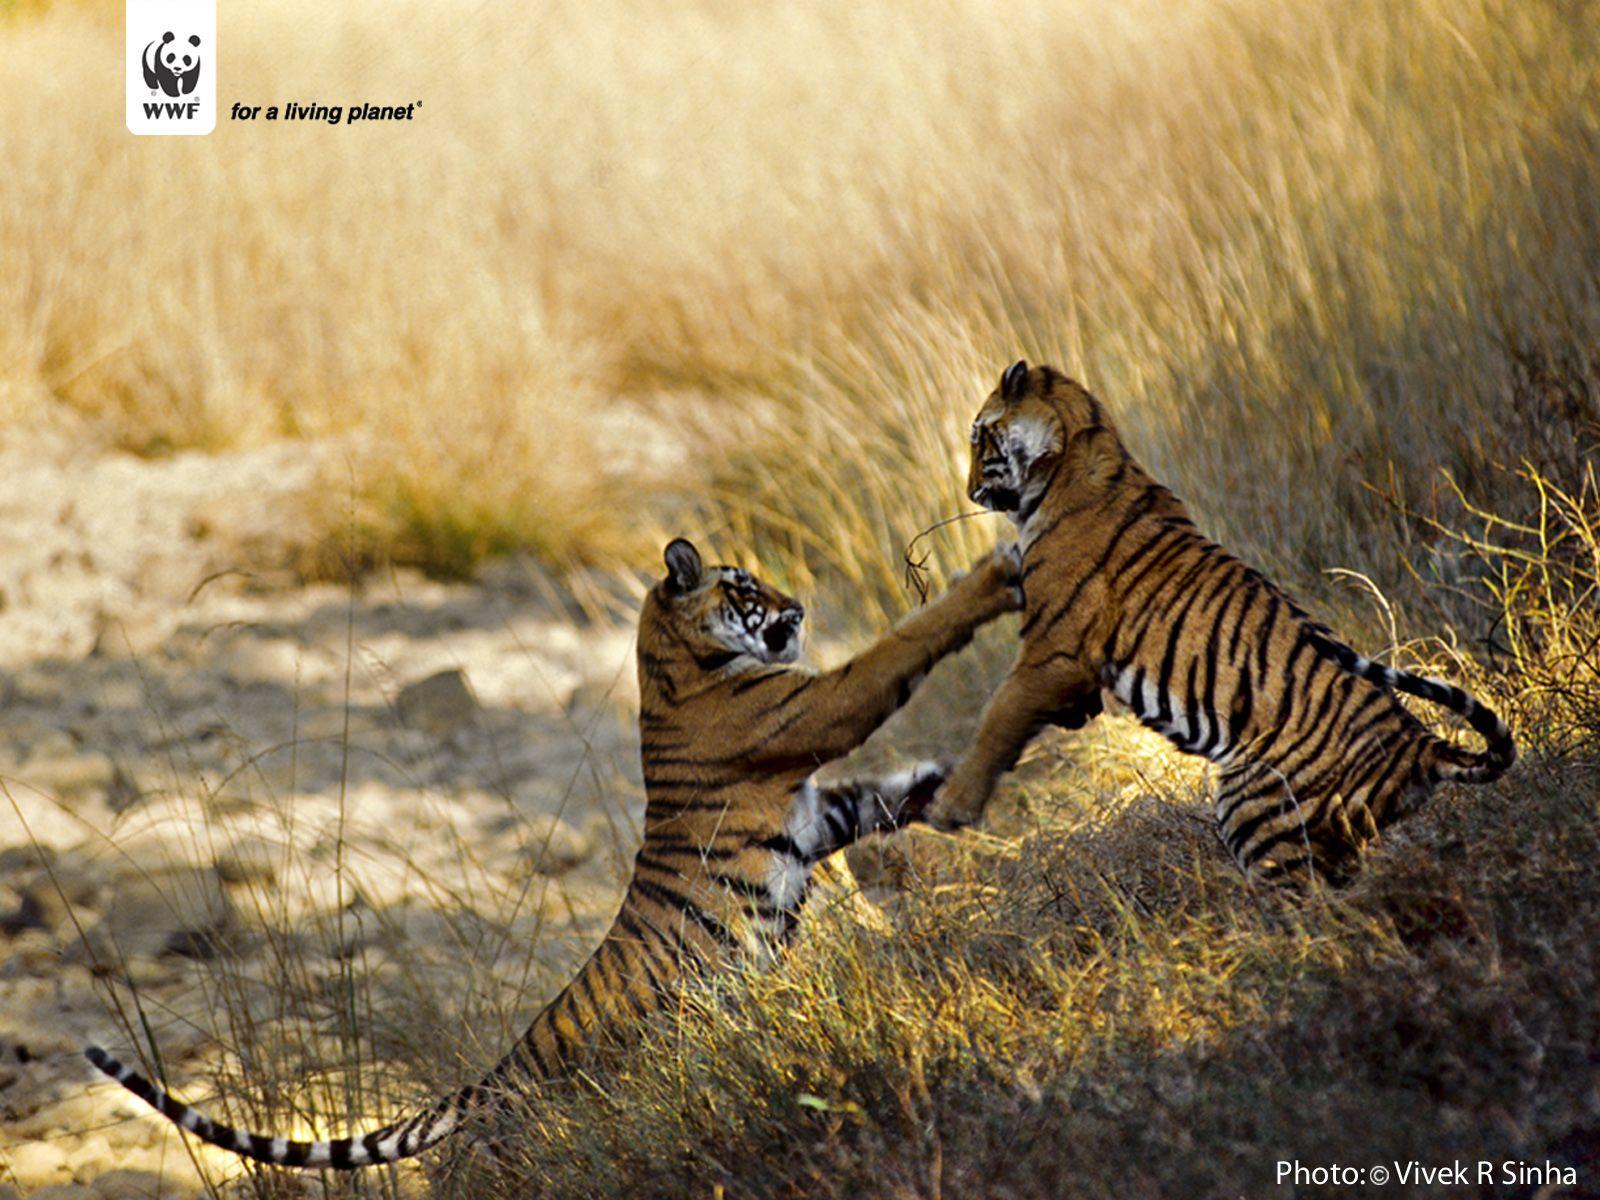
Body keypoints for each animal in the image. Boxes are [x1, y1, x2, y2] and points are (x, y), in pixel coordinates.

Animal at [85, 536, 1022, 1169]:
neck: (679, 664)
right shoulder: (812, 713)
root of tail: (496, 1074)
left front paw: (955, 785)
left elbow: (886, 796)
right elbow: (898, 647)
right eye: (745, 587)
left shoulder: (818, 812)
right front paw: (995, 576)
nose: (798, 610)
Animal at [924, 360, 1516, 883]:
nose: (970, 491)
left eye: (979, 437)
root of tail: (1419, 747)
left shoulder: (1053, 651)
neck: (1082, 445)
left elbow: (998, 713)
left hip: (1253, 810)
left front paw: (949, 807)